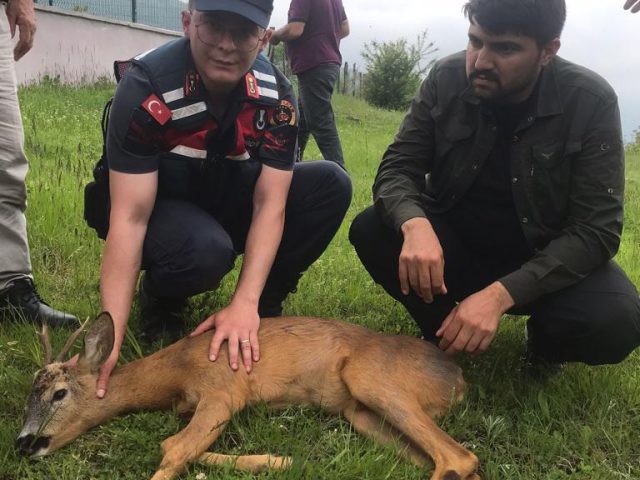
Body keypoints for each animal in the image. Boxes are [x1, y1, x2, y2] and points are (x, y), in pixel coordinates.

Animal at [16, 314, 480, 478]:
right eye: (28, 393)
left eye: (58, 393)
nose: (23, 442)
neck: (177, 370)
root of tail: (459, 378)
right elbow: (179, 445)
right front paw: (279, 461)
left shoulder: (225, 389)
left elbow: (175, 449)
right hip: (361, 413)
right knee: (452, 463)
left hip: (371, 378)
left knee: (459, 458)